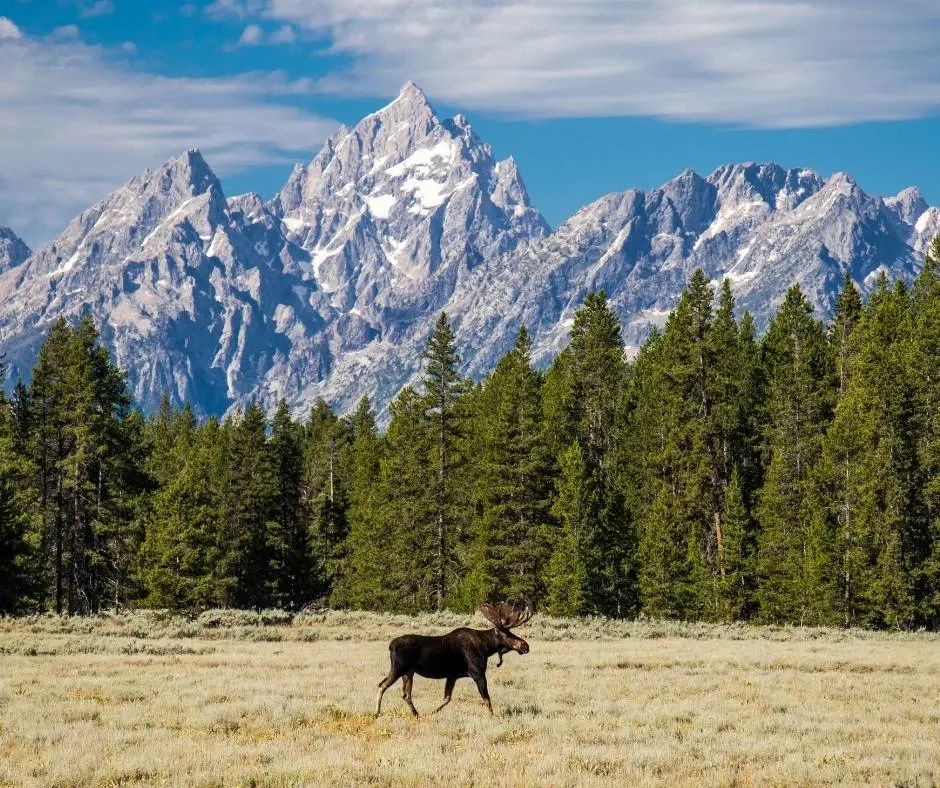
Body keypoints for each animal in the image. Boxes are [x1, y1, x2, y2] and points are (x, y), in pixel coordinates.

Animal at [376, 600, 536, 716]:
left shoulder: (452, 676)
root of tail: (390, 645)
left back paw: (416, 714)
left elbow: (447, 698)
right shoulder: (477, 673)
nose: (525, 645)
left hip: (409, 672)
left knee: (405, 694)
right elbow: (486, 698)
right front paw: (493, 716)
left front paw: (432, 711)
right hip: (398, 668)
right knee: (382, 686)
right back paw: (377, 712)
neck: (486, 648)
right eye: (507, 634)